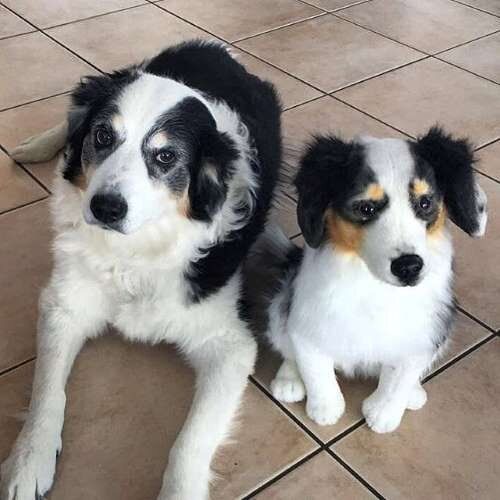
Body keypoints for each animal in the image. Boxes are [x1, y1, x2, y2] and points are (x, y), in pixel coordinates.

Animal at [0, 40, 282, 500]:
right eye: (103, 136)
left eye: (165, 156)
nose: (105, 208)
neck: (136, 249)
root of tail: (215, 49)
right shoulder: (65, 304)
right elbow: (47, 392)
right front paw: (28, 461)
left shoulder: (229, 344)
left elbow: (188, 442)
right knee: (70, 116)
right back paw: (36, 146)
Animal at [266, 128, 488, 434]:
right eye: (365, 208)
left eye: (425, 203)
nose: (409, 267)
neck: (375, 288)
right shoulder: (309, 317)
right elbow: (315, 365)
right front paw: (324, 409)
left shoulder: (424, 329)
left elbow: (399, 375)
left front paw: (384, 413)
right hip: (283, 301)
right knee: (285, 340)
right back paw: (289, 381)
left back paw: (414, 393)